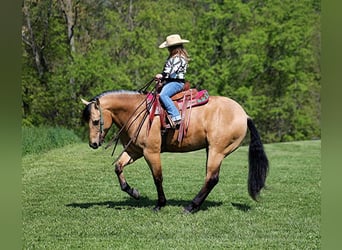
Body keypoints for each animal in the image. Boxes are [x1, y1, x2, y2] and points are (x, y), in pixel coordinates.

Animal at [81, 86, 268, 213]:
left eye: (96, 121)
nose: (93, 144)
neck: (137, 112)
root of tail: (244, 115)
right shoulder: (134, 151)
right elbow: (118, 167)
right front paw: (134, 192)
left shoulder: (151, 152)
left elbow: (157, 178)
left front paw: (160, 204)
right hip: (211, 150)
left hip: (217, 151)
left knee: (211, 178)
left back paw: (190, 206)